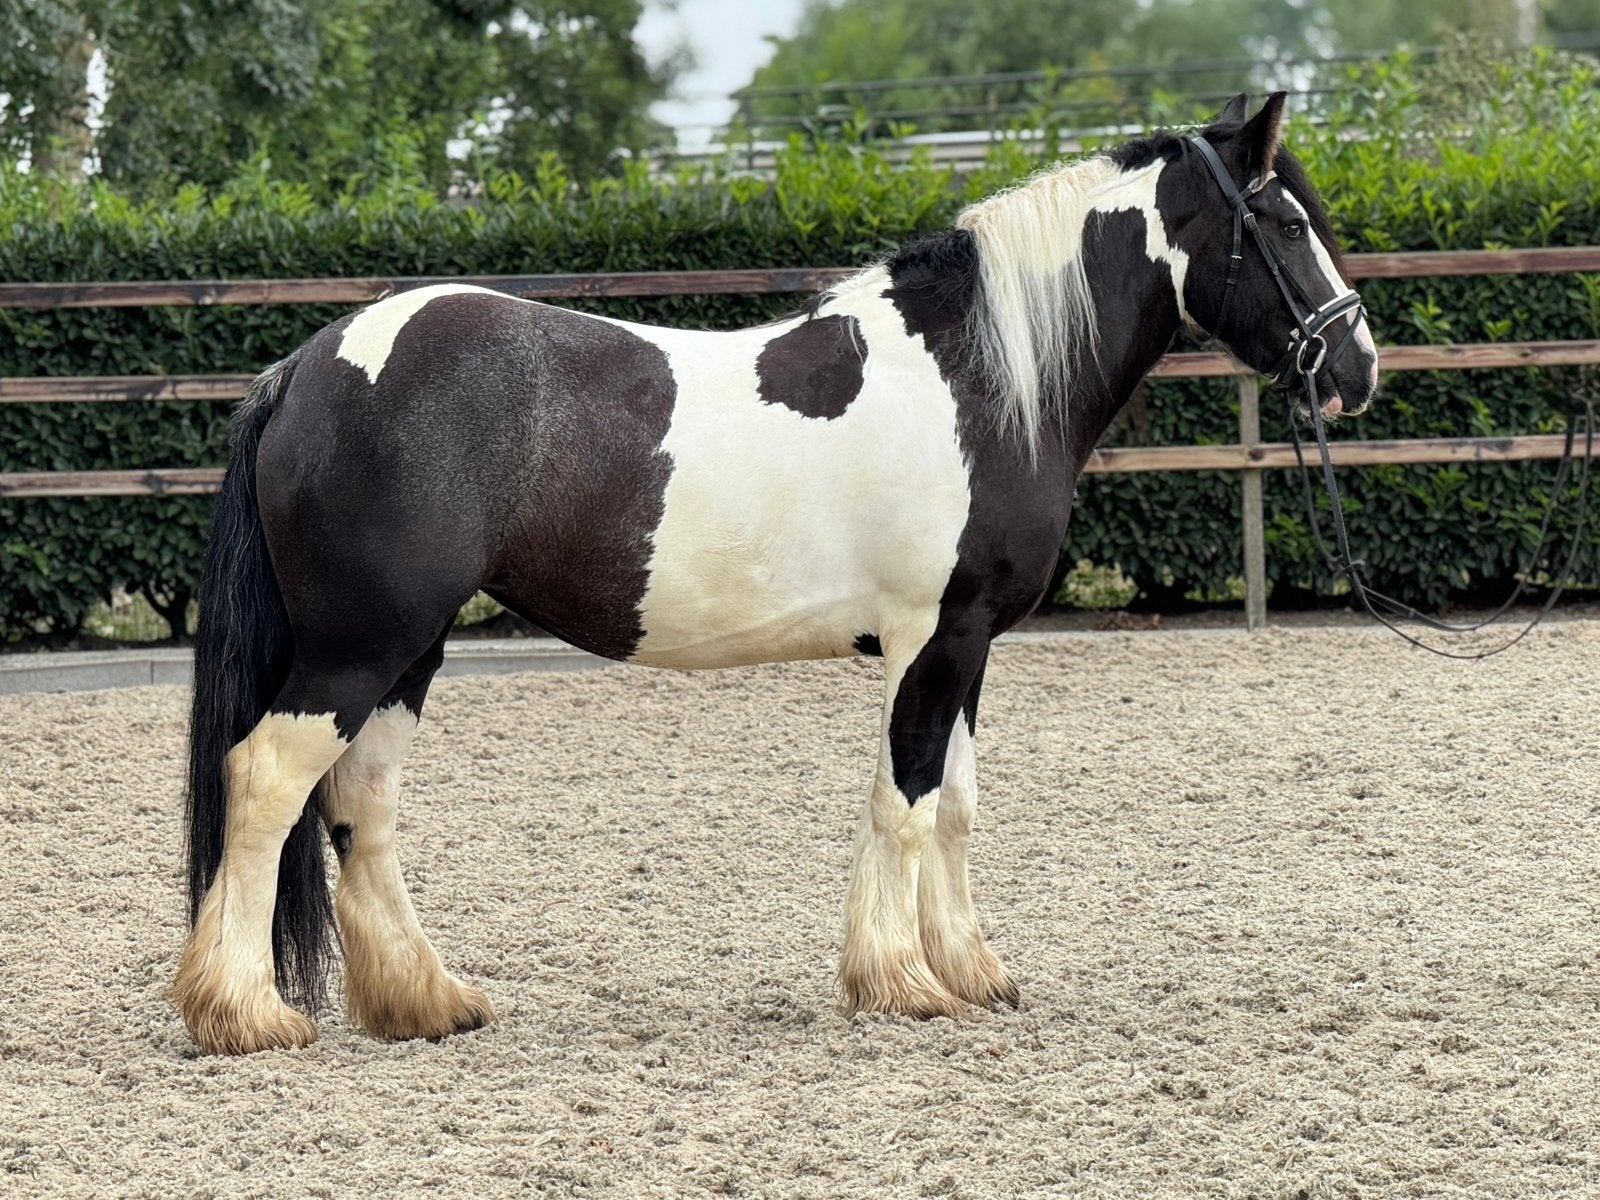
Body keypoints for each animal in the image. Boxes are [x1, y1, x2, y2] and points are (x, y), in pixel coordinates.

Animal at [175, 92, 1379, 1054]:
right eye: (1284, 222)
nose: (1358, 368)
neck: (979, 383)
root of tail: (306, 367)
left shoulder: (971, 644)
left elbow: (954, 804)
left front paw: (971, 971)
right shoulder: (928, 640)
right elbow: (903, 800)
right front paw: (900, 982)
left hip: (408, 651)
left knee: (359, 804)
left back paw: (426, 1002)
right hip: (357, 647)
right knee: (267, 782)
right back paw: (245, 1012)